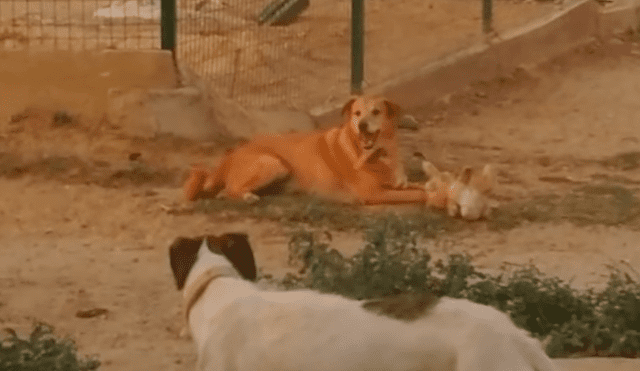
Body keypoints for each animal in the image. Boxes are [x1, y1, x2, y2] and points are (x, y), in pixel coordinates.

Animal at [182, 96, 428, 205]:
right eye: (357, 113)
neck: (383, 154)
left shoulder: (398, 183)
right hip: (274, 163)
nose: (362, 125)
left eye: (376, 112)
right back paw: (248, 196)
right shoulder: (373, 193)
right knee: (231, 189)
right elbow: (417, 193)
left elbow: (417, 185)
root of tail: (231, 154)